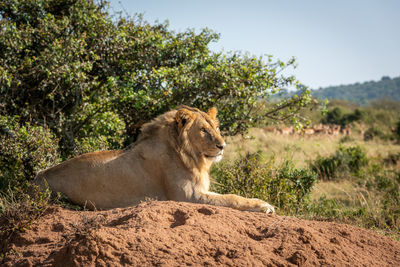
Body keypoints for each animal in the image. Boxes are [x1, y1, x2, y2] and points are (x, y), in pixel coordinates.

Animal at [34, 106, 276, 214]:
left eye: (216, 128)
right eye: (203, 130)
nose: (222, 146)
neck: (189, 155)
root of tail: (35, 178)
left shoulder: (200, 190)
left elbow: (232, 195)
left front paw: (260, 201)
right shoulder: (188, 197)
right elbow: (231, 199)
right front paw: (264, 206)